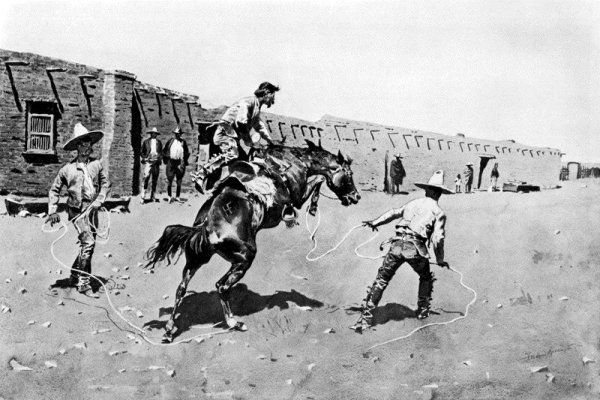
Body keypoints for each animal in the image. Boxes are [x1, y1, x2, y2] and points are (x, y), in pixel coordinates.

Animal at [145, 139, 360, 342]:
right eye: (349, 175)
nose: (356, 197)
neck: (294, 163)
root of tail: (206, 227)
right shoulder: (297, 197)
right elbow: (318, 181)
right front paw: (312, 207)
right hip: (243, 259)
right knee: (221, 286)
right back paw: (234, 323)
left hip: (197, 259)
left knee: (181, 289)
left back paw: (169, 331)